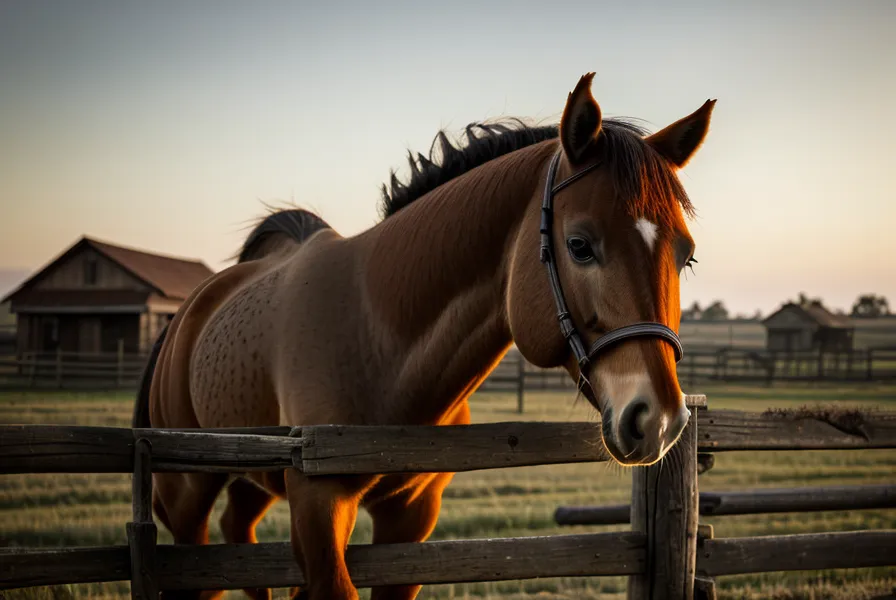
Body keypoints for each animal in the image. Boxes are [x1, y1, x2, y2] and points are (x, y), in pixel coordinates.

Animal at [133, 72, 715, 600]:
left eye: (686, 256)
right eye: (579, 245)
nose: (659, 420)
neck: (379, 342)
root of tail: (188, 313)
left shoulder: (410, 520)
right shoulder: (318, 511)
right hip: (187, 494)